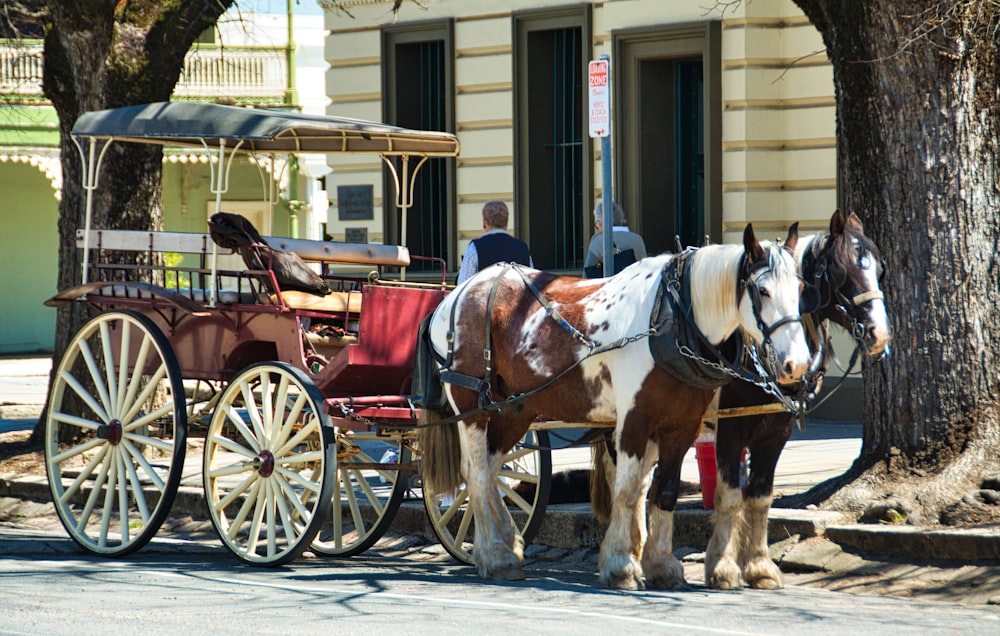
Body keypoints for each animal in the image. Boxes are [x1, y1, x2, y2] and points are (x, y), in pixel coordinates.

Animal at [420, 222, 812, 588]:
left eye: (801, 290)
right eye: (762, 290)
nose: (797, 365)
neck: (669, 320)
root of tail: (457, 295)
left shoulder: (682, 426)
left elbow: (663, 491)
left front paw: (661, 565)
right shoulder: (636, 420)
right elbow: (626, 491)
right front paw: (622, 565)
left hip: (514, 409)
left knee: (492, 471)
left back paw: (506, 544)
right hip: (472, 405)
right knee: (477, 473)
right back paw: (495, 555)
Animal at [704, 210, 892, 592]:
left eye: (879, 268)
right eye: (841, 269)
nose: (879, 334)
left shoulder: (776, 431)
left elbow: (760, 496)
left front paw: (759, 567)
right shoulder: (730, 426)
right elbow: (729, 495)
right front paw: (723, 566)